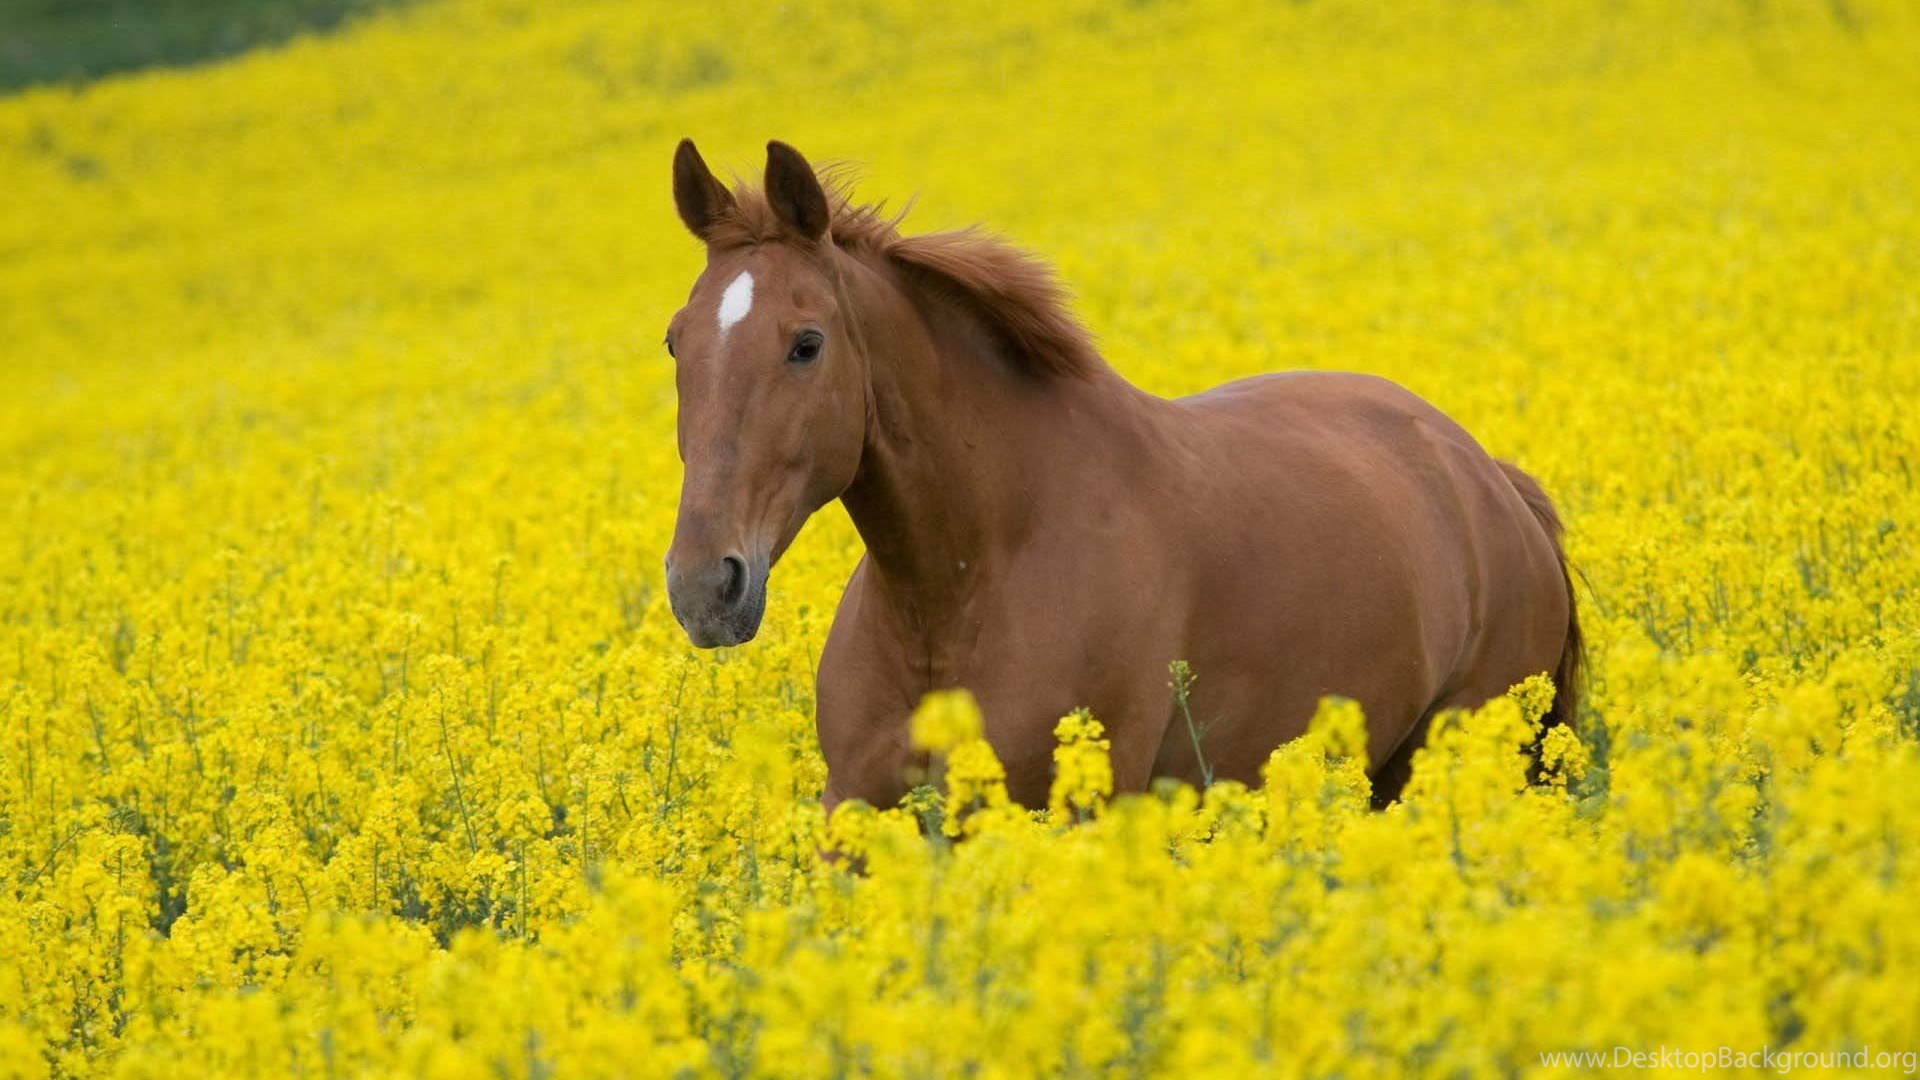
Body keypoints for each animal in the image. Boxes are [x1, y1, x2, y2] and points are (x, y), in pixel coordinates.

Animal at [660, 138, 1574, 807]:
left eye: (806, 344)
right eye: (676, 340)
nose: (705, 587)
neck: (960, 588)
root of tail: (1489, 479)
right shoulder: (855, 814)